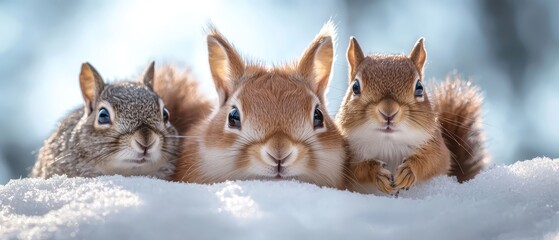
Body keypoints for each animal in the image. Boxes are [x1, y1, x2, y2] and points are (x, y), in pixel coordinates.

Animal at [336, 37, 490, 195]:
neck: (389, 143)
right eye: (355, 87)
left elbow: (434, 161)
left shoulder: (437, 147)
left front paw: (408, 171)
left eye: (419, 87)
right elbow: (355, 170)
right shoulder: (346, 158)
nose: (388, 111)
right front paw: (377, 172)